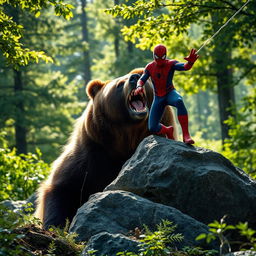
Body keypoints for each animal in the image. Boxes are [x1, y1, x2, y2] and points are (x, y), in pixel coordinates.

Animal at [35, 68, 177, 228]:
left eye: (141, 77)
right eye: (119, 84)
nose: (134, 78)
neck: (126, 140)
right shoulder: (89, 158)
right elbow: (61, 189)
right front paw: (55, 224)